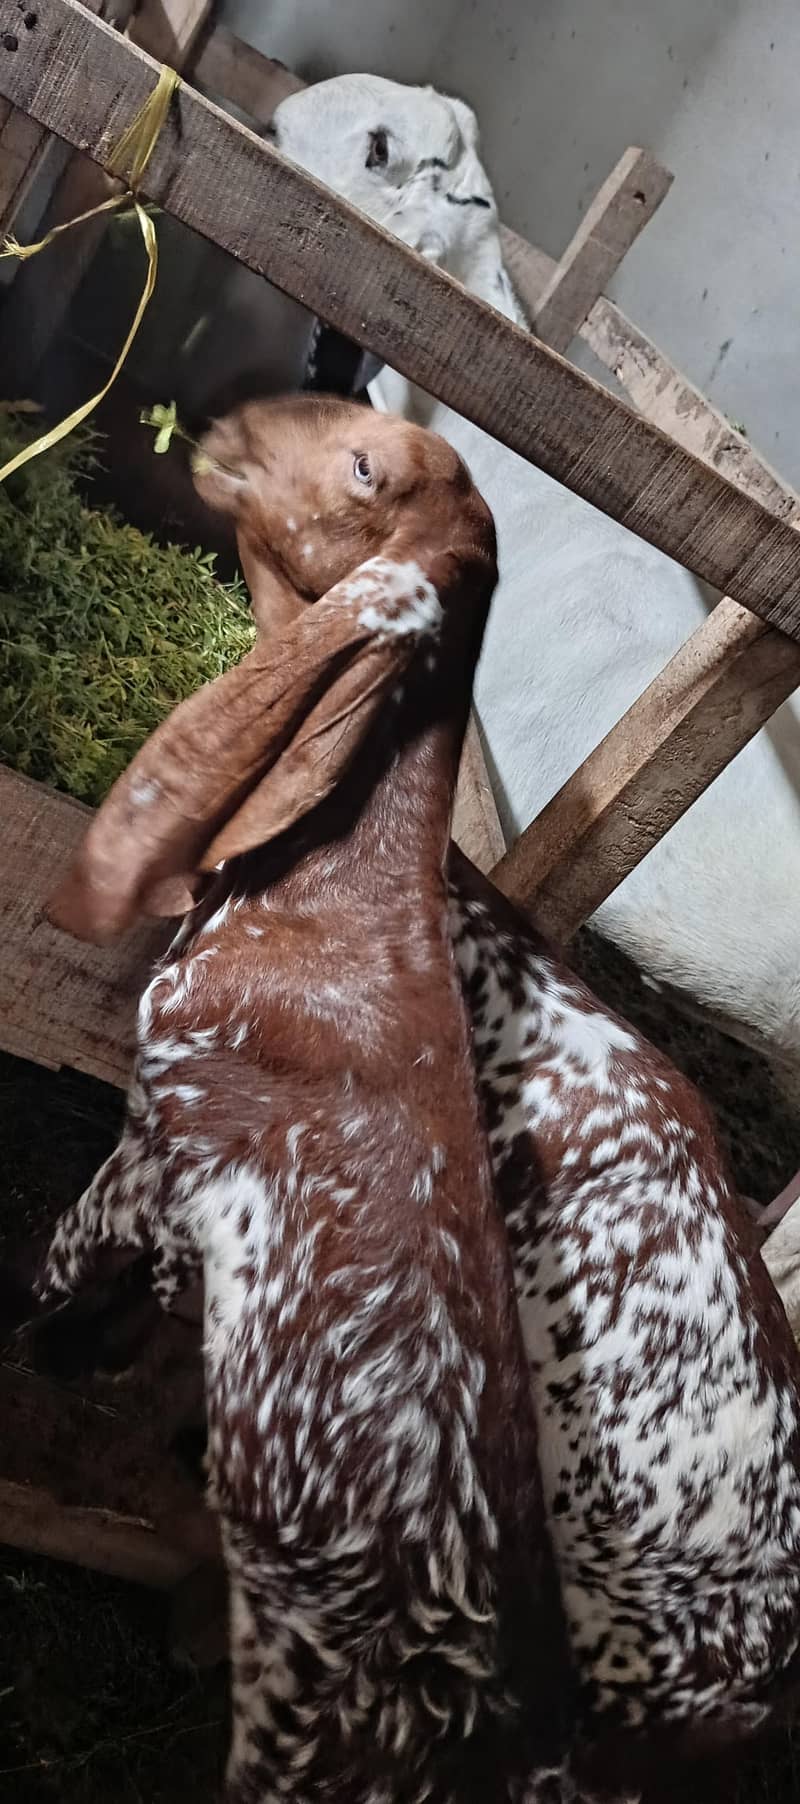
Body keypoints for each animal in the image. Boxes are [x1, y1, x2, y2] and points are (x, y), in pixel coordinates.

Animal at [14, 397, 575, 1804]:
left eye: (368, 466)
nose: (224, 423)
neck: (335, 895)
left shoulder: (155, 1138)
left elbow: (52, 1268)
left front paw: (32, 1351)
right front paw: (97, 1361)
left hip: (306, 1732)